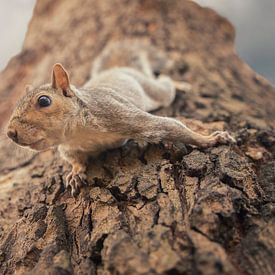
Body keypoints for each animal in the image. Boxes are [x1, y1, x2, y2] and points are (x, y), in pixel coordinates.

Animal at [5, 40, 235, 197]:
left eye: (44, 101)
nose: (10, 133)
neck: (78, 133)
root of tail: (119, 68)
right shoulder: (69, 147)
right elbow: (75, 159)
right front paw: (75, 173)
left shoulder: (120, 115)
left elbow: (169, 125)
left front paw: (211, 139)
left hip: (154, 90)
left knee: (164, 82)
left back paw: (180, 85)